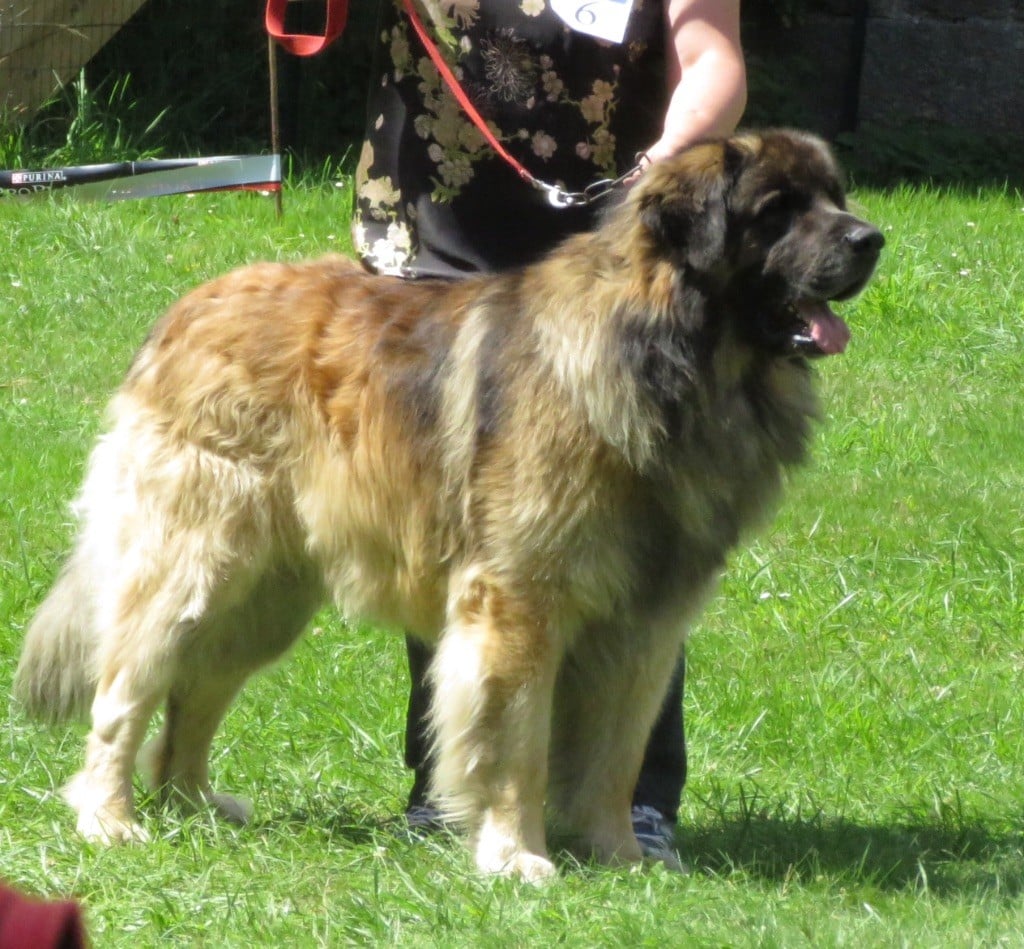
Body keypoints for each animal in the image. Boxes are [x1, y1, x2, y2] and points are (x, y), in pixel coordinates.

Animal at [16, 127, 880, 884]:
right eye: (776, 210)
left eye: (834, 197)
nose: (873, 238)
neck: (663, 361)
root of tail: (185, 311)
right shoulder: (521, 605)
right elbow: (517, 745)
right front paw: (517, 855)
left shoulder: (645, 623)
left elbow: (616, 755)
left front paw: (624, 859)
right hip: (193, 564)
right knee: (123, 691)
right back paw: (108, 816)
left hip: (266, 596)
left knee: (194, 692)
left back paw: (192, 803)